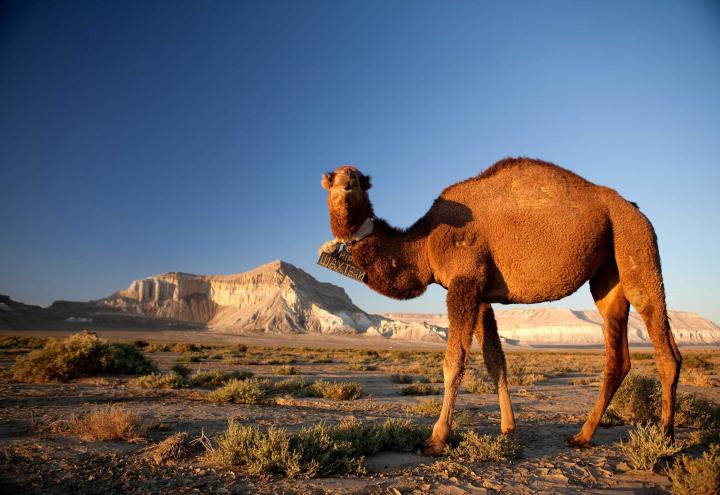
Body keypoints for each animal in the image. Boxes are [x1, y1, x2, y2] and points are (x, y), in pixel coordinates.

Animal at [320, 159, 680, 458]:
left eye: (358, 179)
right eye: (332, 177)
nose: (346, 186)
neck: (424, 244)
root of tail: (634, 209)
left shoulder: (463, 282)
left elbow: (454, 362)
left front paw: (436, 440)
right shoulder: (480, 293)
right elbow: (496, 361)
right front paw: (508, 428)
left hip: (636, 244)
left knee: (665, 346)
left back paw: (664, 438)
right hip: (608, 272)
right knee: (617, 351)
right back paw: (583, 436)